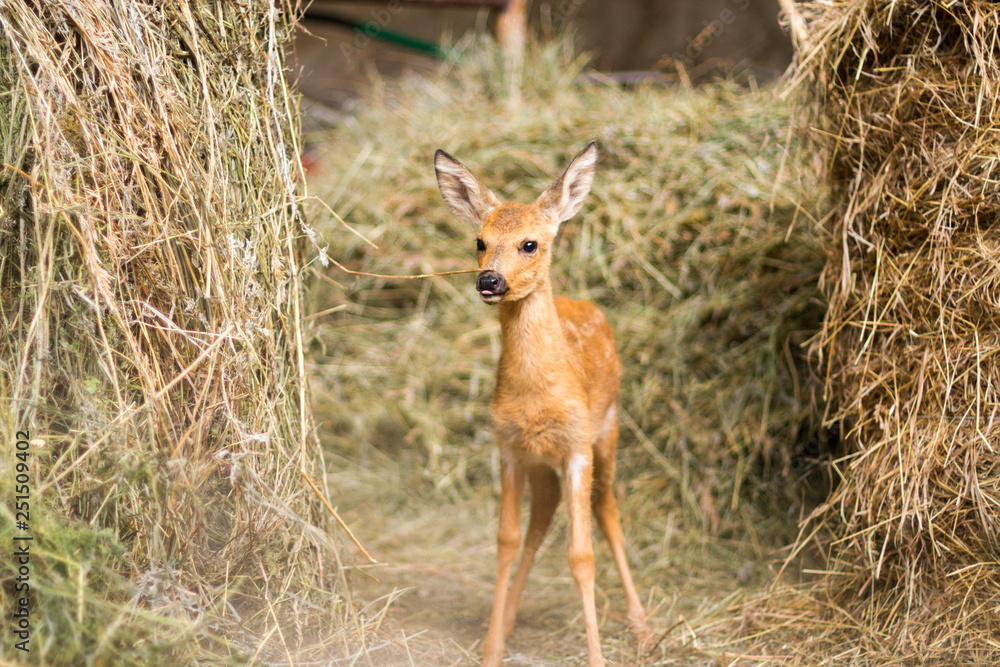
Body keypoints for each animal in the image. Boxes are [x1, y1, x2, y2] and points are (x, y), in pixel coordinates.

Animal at [434, 142, 649, 667]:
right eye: (479, 240)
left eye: (530, 244)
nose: (489, 280)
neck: (538, 395)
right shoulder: (509, 447)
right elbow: (506, 540)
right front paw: (491, 649)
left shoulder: (576, 446)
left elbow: (581, 556)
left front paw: (596, 658)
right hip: (540, 461)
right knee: (543, 513)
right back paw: (510, 620)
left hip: (607, 431)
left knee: (607, 508)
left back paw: (642, 626)